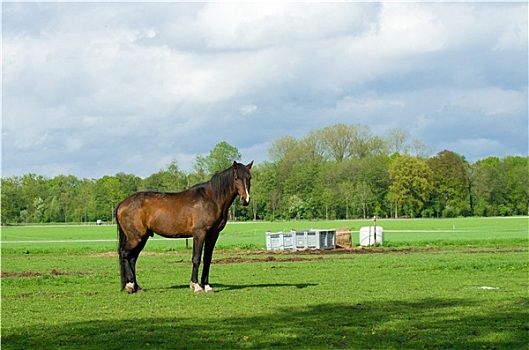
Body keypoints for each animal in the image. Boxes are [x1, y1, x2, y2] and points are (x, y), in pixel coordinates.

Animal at [116, 161, 253, 292]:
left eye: (249, 177)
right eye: (236, 177)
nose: (245, 200)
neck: (211, 199)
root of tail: (122, 203)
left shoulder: (213, 235)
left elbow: (207, 259)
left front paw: (207, 286)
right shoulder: (199, 234)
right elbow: (196, 258)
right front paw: (196, 286)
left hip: (142, 238)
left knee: (132, 259)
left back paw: (137, 287)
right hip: (135, 238)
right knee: (124, 254)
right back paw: (130, 286)